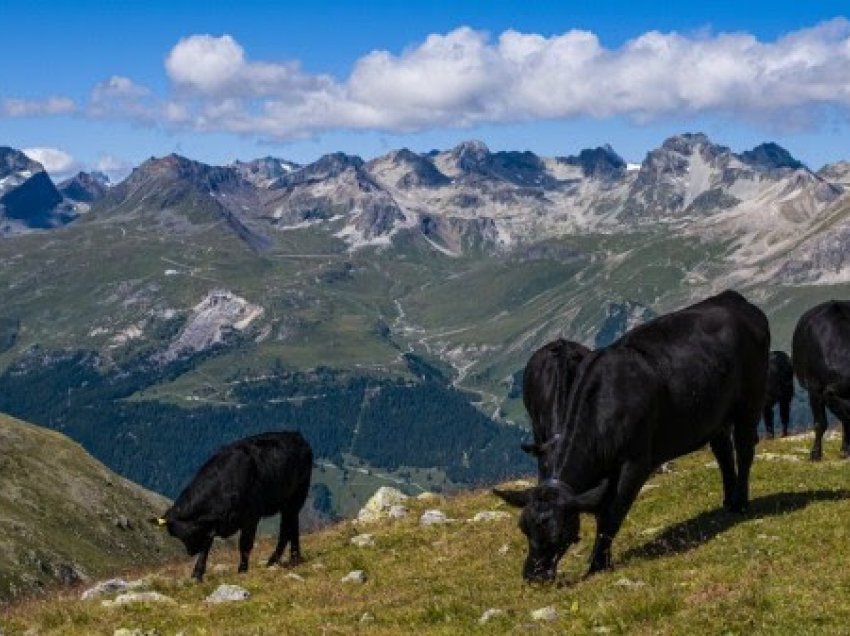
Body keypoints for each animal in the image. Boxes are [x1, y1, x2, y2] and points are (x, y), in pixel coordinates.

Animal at [152, 432, 312, 580]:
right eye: (179, 536)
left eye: (192, 533)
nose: (191, 552)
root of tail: (296, 435)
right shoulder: (211, 525)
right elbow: (206, 547)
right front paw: (197, 574)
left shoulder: (250, 517)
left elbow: (245, 545)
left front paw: (242, 570)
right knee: (292, 525)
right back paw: (292, 557)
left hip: (297, 495)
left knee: (286, 528)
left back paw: (279, 559)